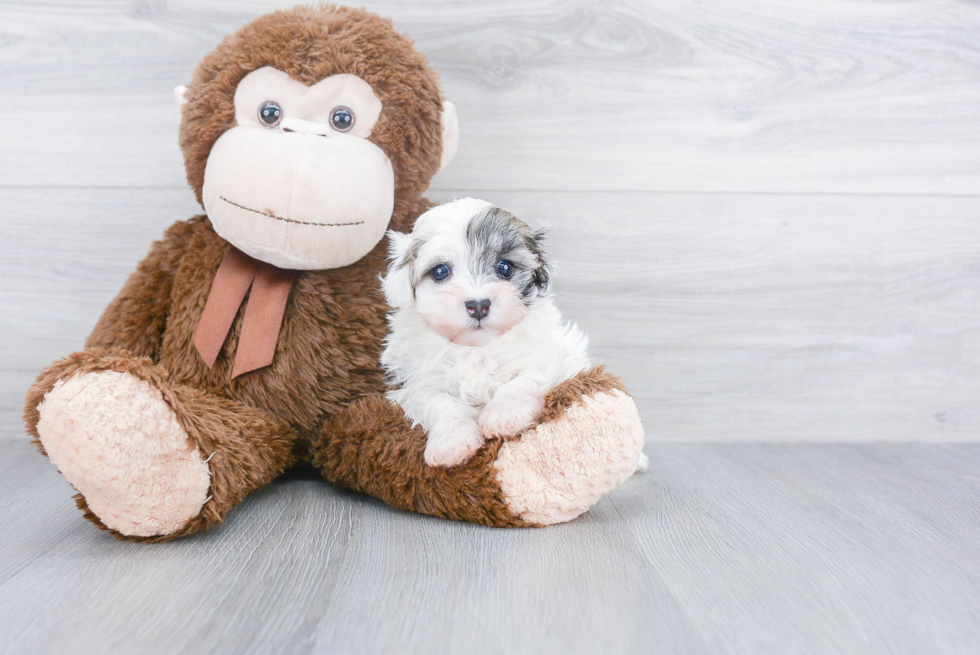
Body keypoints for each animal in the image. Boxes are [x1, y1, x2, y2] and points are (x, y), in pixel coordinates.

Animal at [380, 197, 588, 468]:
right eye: (440, 271)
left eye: (505, 268)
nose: (478, 305)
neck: (475, 347)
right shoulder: (419, 380)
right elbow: (439, 402)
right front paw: (451, 442)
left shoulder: (551, 353)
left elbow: (523, 379)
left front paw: (504, 414)